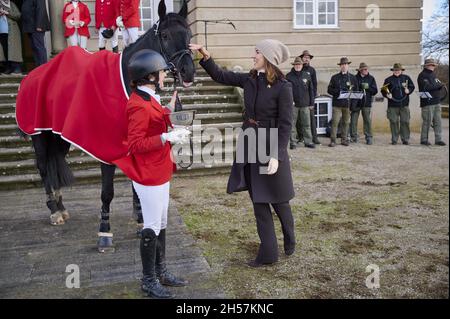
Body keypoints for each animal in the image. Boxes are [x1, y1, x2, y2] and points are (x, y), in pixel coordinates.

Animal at [23, 0, 194, 254]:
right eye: (164, 35)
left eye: (189, 34)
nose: (188, 71)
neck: (130, 82)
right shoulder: (105, 146)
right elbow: (107, 192)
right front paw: (104, 232)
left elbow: (137, 183)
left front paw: (141, 219)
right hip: (40, 136)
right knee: (44, 168)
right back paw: (53, 211)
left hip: (59, 137)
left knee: (55, 164)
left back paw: (61, 207)